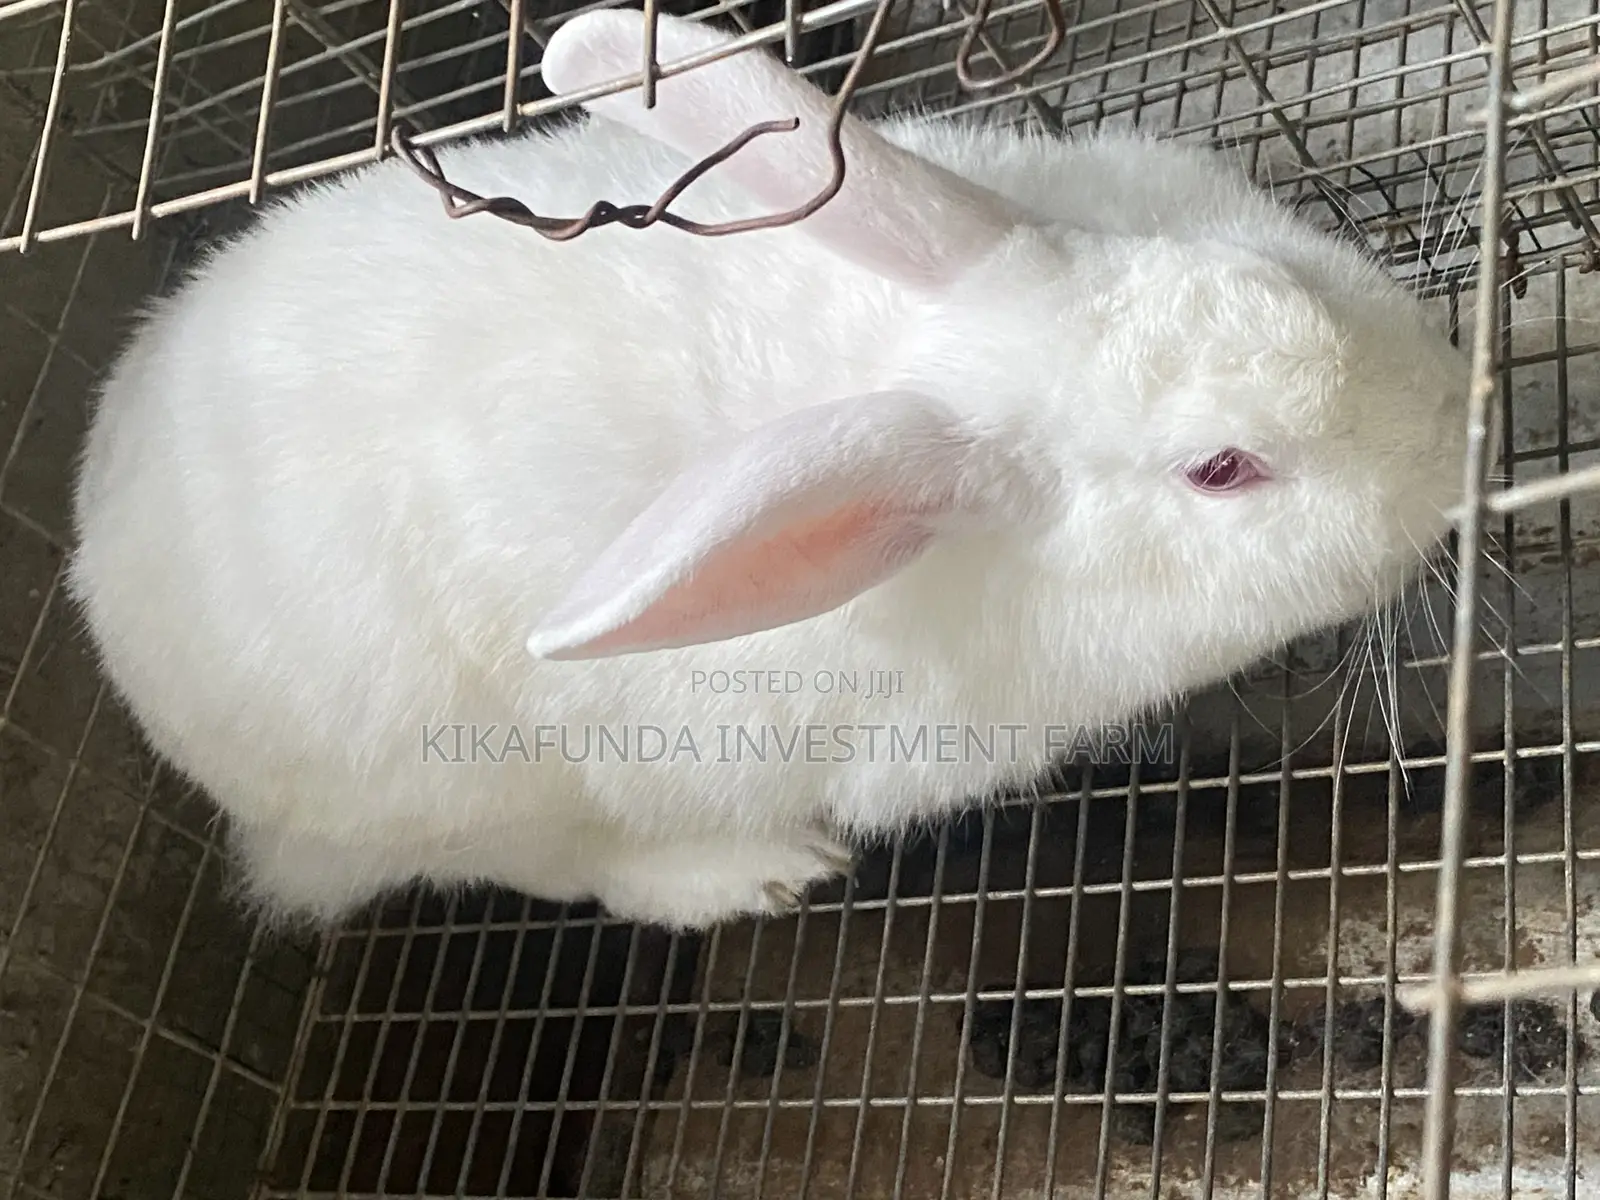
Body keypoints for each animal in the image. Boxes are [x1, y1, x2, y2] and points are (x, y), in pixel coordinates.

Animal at [66, 7, 1474, 932]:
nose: (1459, 430)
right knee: (558, 862)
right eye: (1222, 469)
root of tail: (102, 526)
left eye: (1268, 277)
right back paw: (761, 871)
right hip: (462, 797)